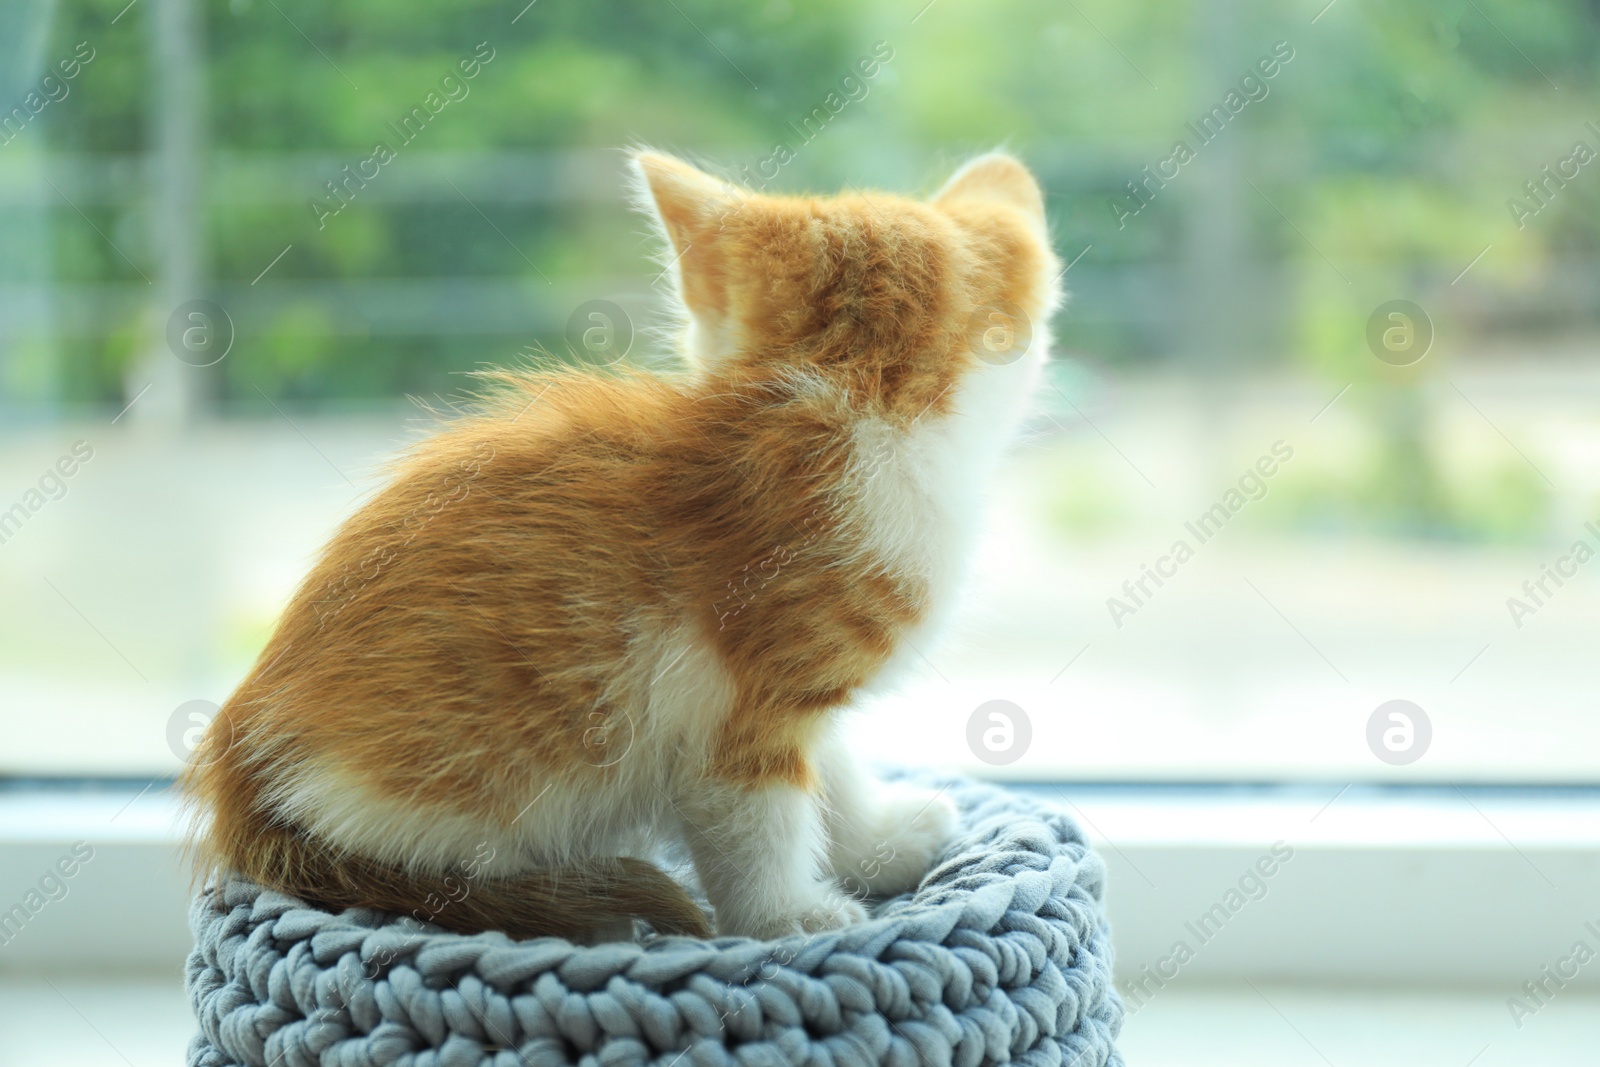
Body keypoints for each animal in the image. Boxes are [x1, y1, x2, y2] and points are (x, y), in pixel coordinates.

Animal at [184, 150, 1062, 940]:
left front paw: (876, 842)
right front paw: (789, 917)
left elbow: (834, 766)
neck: (858, 396)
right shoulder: (740, 698)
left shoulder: (798, 688)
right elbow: (758, 819)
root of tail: (240, 779)